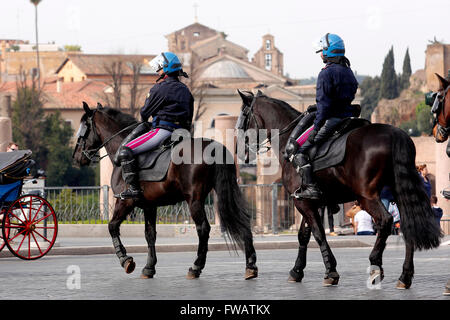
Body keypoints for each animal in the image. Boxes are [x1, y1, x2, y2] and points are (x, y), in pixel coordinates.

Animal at [72, 102, 258, 280]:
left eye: (83, 130)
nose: (76, 158)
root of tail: (214, 147)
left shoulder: (125, 201)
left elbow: (112, 226)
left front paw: (126, 260)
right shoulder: (149, 206)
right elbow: (150, 234)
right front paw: (149, 267)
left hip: (194, 200)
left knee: (203, 228)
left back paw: (196, 267)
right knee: (242, 220)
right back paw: (250, 266)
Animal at [237, 90, 442, 290]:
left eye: (243, 117)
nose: (241, 151)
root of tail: (394, 134)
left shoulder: (302, 202)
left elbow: (318, 234)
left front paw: (330, 271)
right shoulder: (309, 200)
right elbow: (304, 235)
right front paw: (297, 271)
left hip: (367, 196)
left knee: (385, 221)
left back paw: (375, 265)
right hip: (399, 192)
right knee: (408, 224)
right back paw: (405, 276)